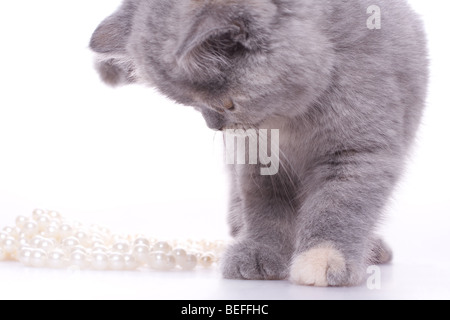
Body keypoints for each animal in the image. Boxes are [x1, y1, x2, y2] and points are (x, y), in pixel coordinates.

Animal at [89, 0, 428, 284]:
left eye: (227, 103)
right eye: (194, 106)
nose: (214, 126)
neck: (292, 120)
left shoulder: (359, 151)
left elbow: (339, 206)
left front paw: (323, 258)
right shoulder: (255, 158)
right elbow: (265, 208)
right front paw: (258, 252)